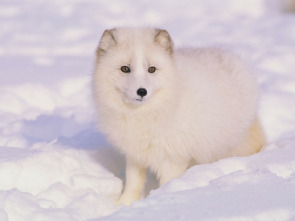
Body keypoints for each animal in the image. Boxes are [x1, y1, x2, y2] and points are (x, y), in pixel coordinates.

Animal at [92, 27, 266, 205]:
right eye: (125, 69)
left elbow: (167, 183)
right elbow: (133, 183)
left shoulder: (173, 159)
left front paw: (163, 199)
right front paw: (123, 204)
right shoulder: (135, 155)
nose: (141, 91)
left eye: (151, 69)